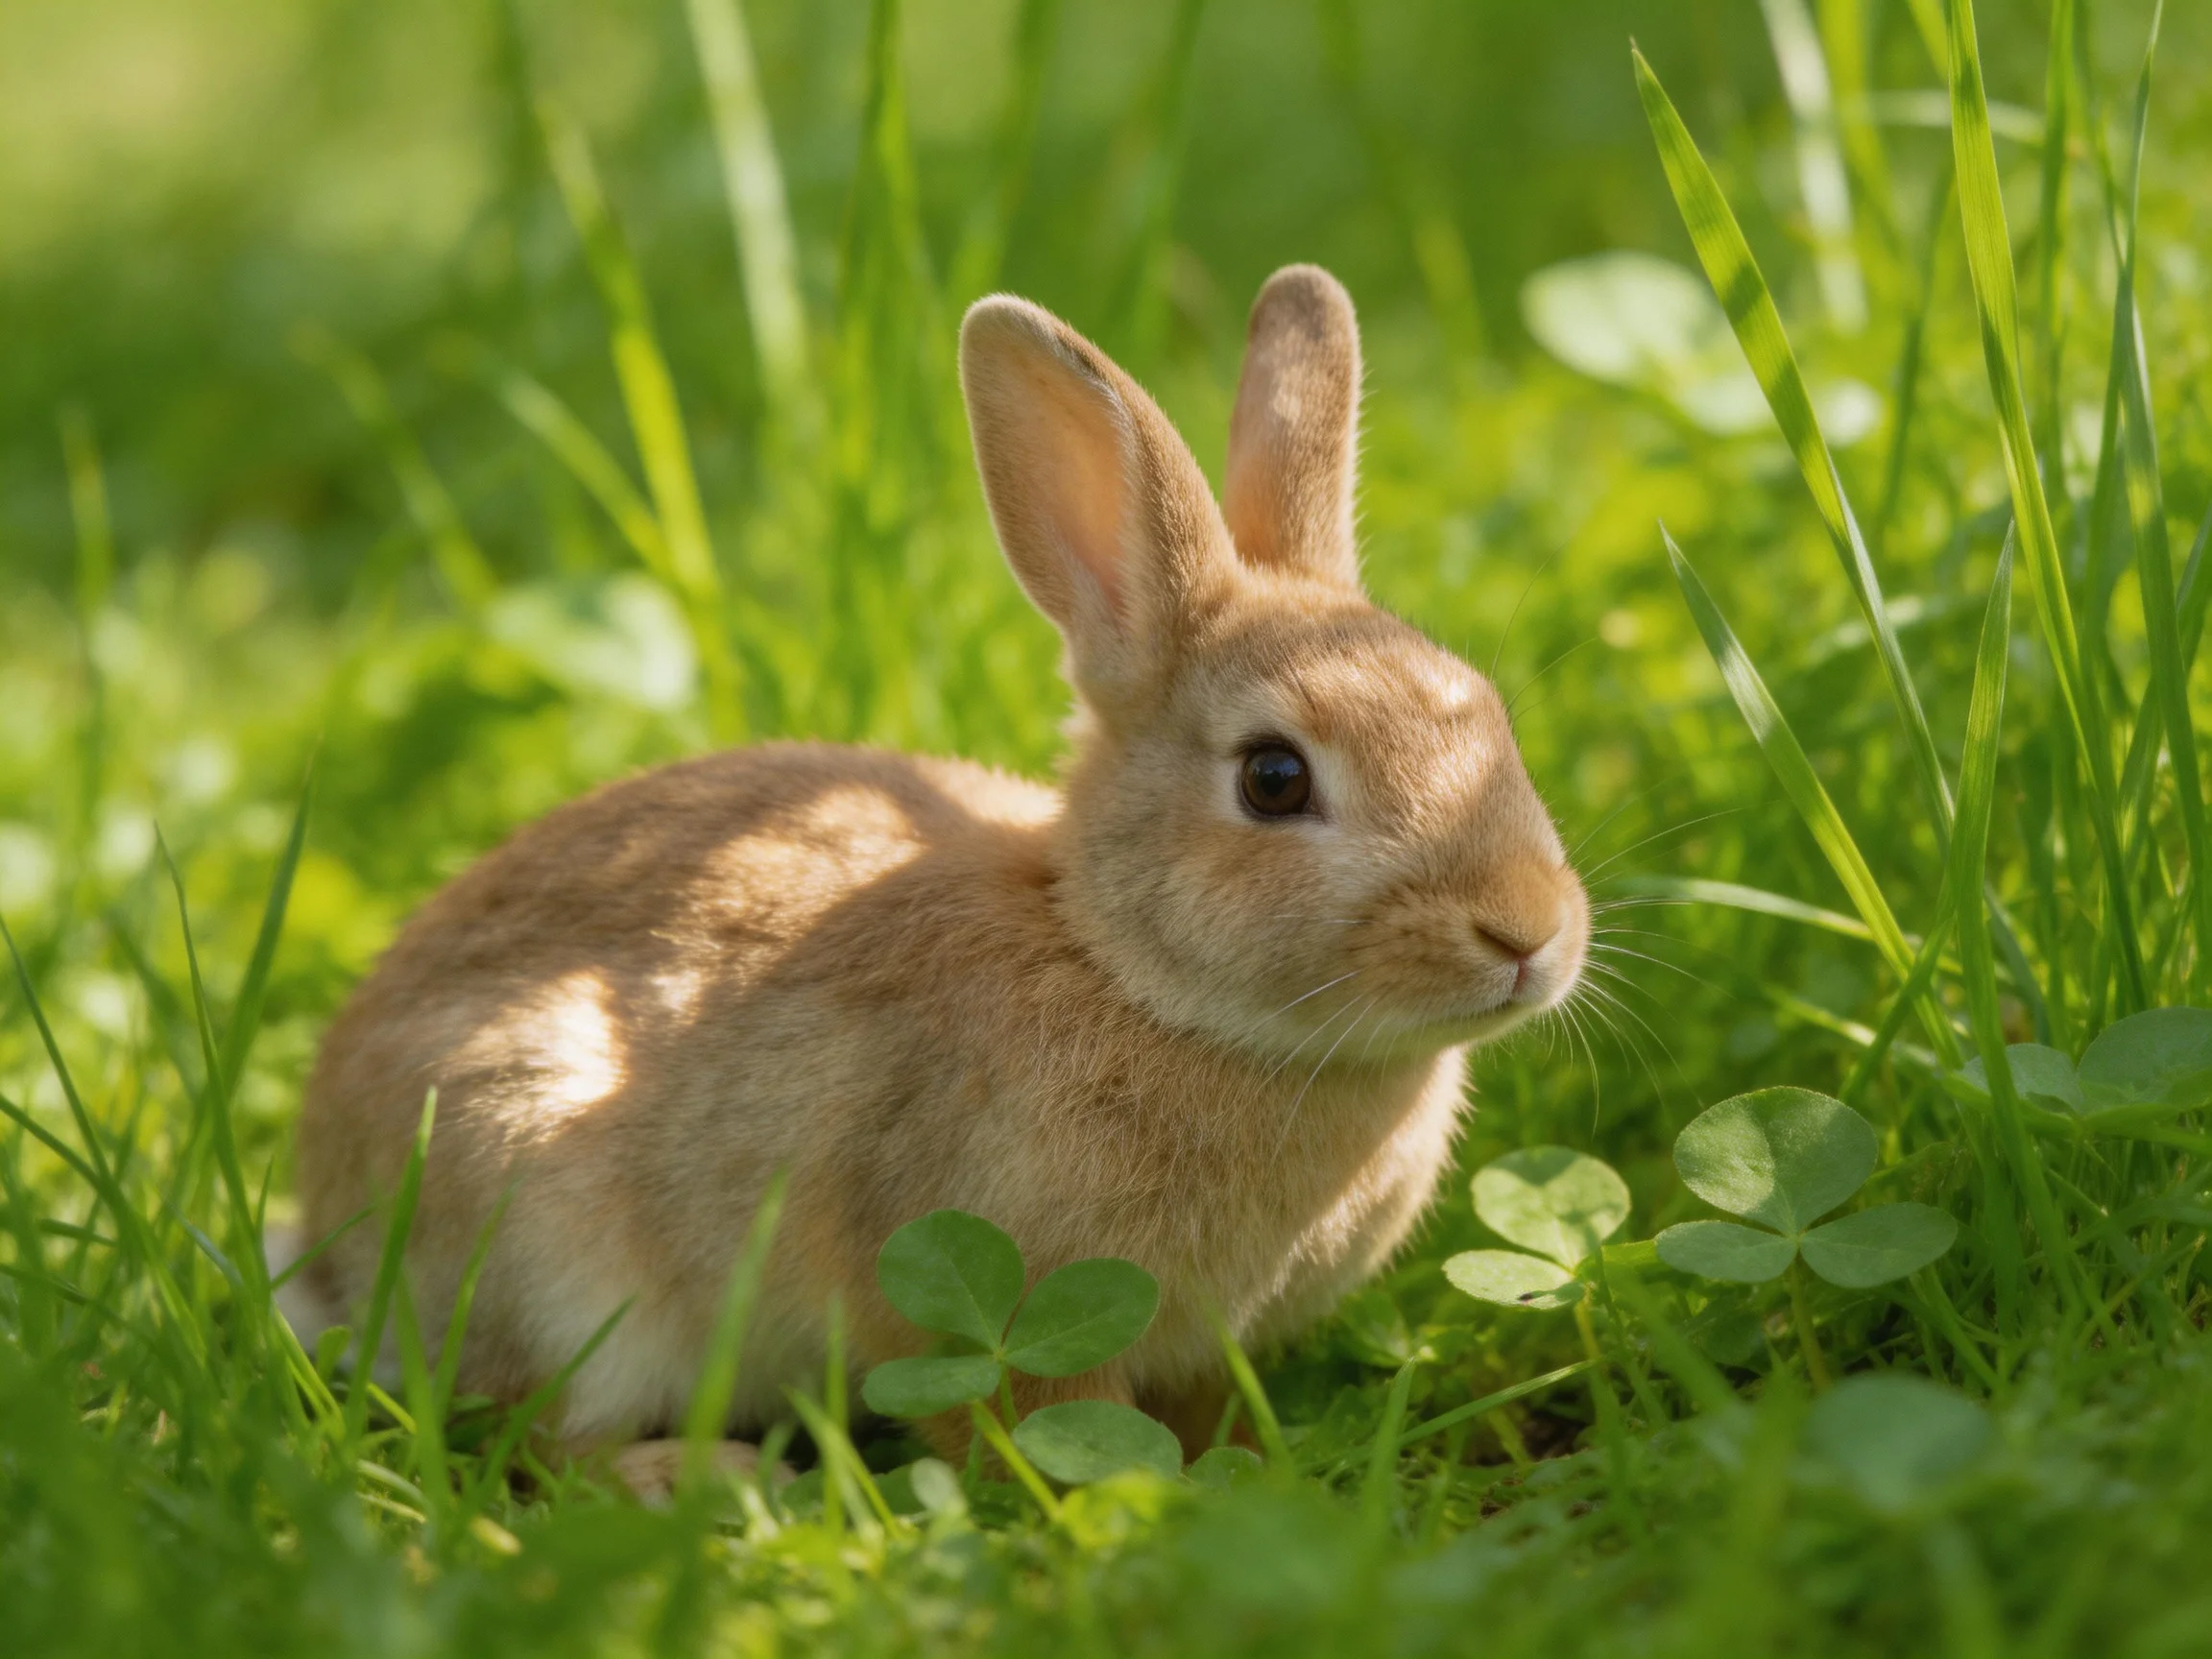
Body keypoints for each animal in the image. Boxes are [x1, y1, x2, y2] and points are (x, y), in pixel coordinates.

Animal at [285, 264, 1589, 1493]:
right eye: (1274, 779)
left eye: (1491, 714)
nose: (1526, 933)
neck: (1125, 974)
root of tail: (333, 1232)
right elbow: (1009, 1417)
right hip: (541, 1225)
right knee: (534, 1438)